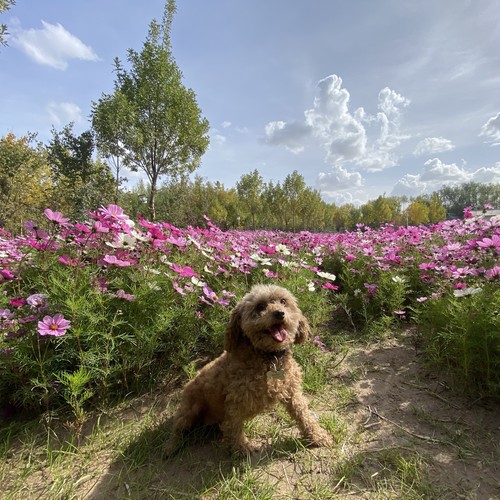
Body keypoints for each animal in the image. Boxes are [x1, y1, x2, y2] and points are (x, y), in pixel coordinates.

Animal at [166, 284, 334, 456]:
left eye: (283, 301)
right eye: (260, 306)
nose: (279, 313)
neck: (269, 357)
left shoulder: (292, 391)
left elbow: (303, 415)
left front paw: (318, 436)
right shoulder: (236, 401)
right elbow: (234, 427)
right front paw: (242, 449)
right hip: (189, 411)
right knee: (177, 429)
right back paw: (170, 448)